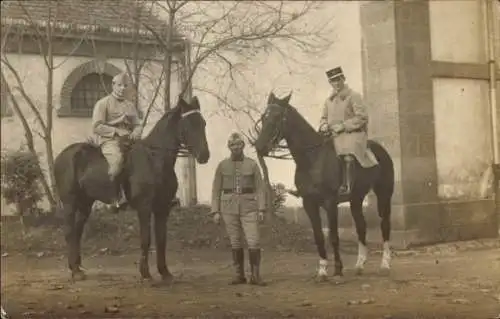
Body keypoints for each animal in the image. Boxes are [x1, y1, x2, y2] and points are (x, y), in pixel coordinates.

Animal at [53, 96, 210, 284]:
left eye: (203, 123)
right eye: (188, 125)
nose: (204, 156)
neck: (155, 159)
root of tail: (62, 156)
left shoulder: (163, 208)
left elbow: (161, 240)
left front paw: (165, 273)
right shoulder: (144, 207)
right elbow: (146, 239)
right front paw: (146, 273)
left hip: (85, 203)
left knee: (77, 232)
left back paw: (77, 268)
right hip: (70, 202)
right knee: (70, 232)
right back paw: (75, 271)